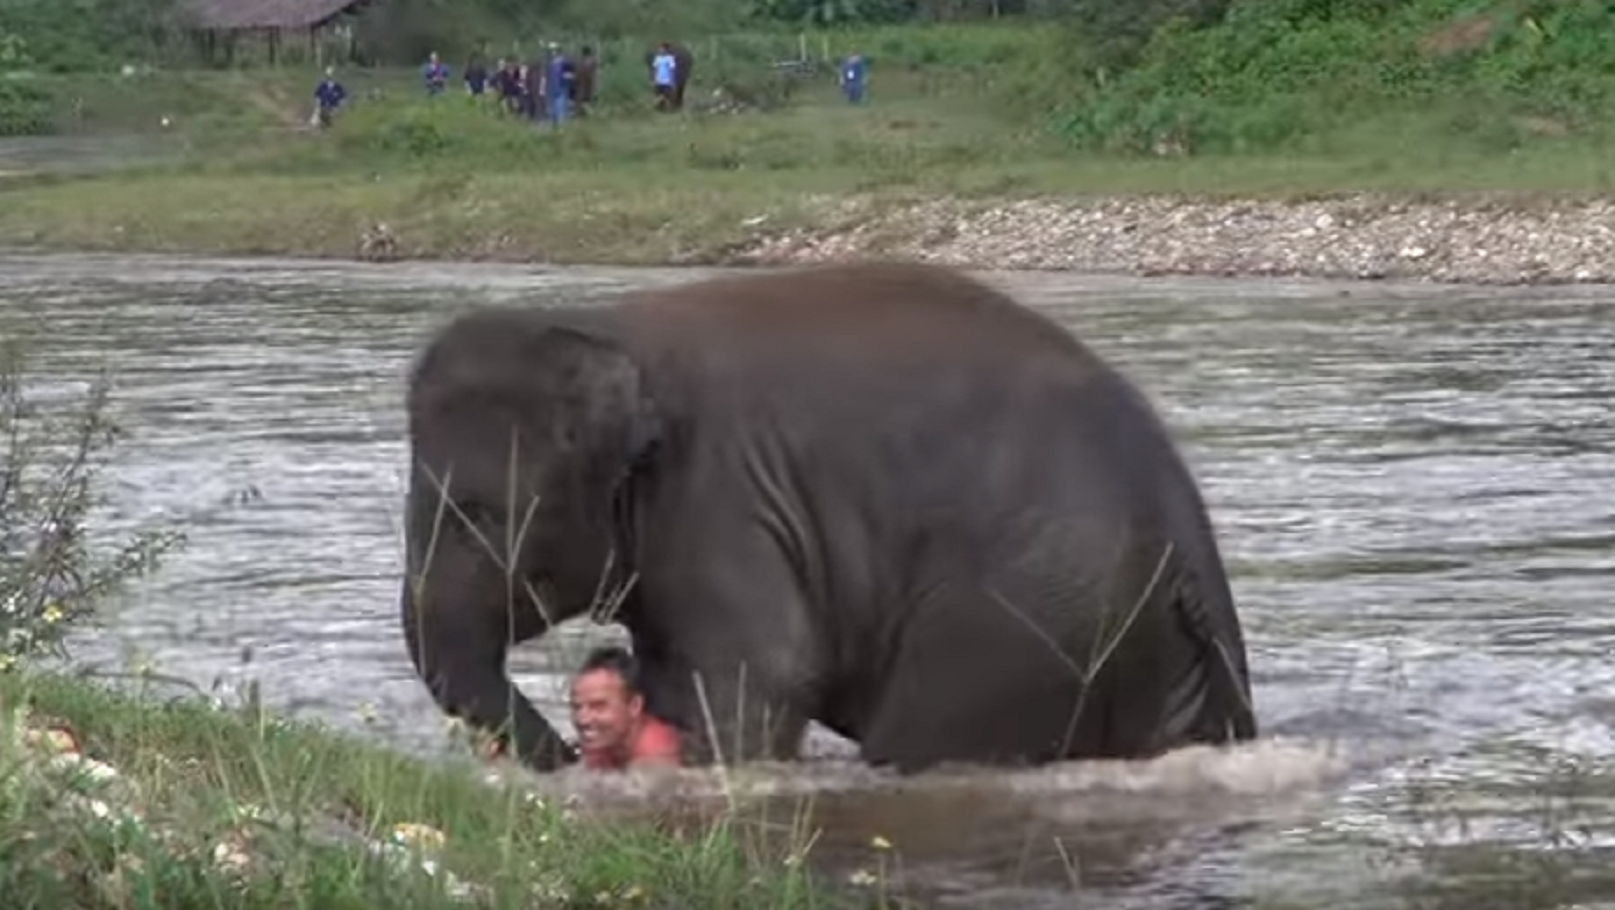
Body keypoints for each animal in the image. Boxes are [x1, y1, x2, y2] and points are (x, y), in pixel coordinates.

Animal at [397, 261, 1253, 775]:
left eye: (476, 514)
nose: (573, 755)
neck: (609, 324)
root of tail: (1185, 530)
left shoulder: (723, 496)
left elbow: (765, 669)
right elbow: (679, 674)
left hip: (1022, 617)